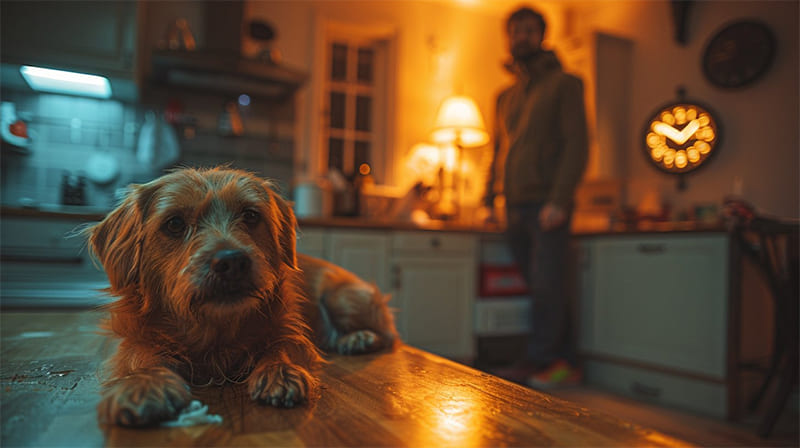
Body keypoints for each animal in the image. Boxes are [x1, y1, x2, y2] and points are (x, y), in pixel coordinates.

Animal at [88, 166, 396, 426]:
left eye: (250, 215)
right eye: (174, 224)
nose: (232, 261)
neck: (215, 329)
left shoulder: (289, 329)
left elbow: (283, 346)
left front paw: (280, 371)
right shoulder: (133, 337)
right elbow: (138, 354)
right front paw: (143, 382)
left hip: (343, 298)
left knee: (388, 334)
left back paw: (358, 338)